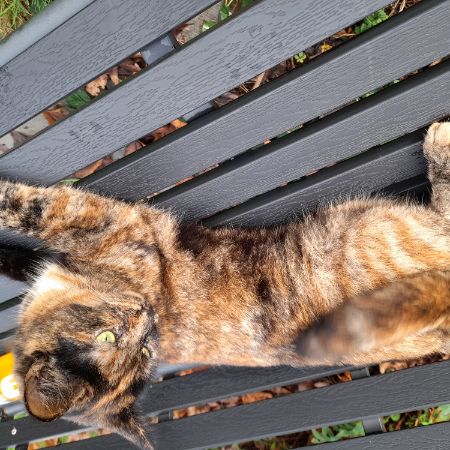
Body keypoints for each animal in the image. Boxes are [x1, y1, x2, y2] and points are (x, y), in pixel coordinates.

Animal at [0, 122, 449, 449]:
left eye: (137, 348)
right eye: (114, 339)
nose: (147, 315)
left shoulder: (104, 224)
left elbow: (24, 212)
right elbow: (26, 238)